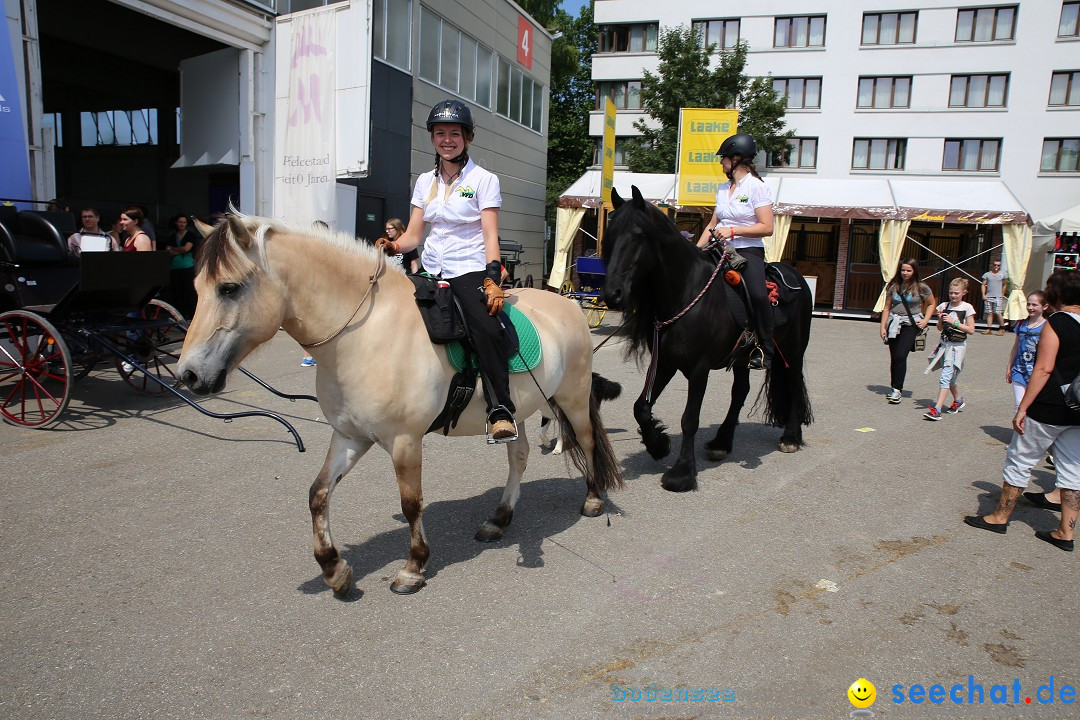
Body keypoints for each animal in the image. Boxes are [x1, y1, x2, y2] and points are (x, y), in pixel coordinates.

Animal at [180, 212, 622, 595]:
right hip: (518, 409)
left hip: (572, 398)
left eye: (229, 288)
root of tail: (566, 303)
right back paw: (498, 519)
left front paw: (413, 567)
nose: (188, 375)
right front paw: (333, 568)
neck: (366, 333)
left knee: (586, 441)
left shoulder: (405, 441)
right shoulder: (349, 436)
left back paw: (593, 499)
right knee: (520, 455)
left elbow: (411, 504)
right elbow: (317, 494)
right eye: (196, 288)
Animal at [600, 185, 812, 492]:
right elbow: (641, 407)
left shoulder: (698, 368)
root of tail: (797, 277)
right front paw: (658, 445)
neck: (686, 292)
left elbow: (690, 419)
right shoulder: (665, 362)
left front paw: (681, 473)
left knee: (793, 386)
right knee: (740, 392)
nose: (612, 295)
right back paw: (722, 442)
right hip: (742, 357)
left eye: (638, 235)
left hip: (794, 350)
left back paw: (790, 437)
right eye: (611, 235)